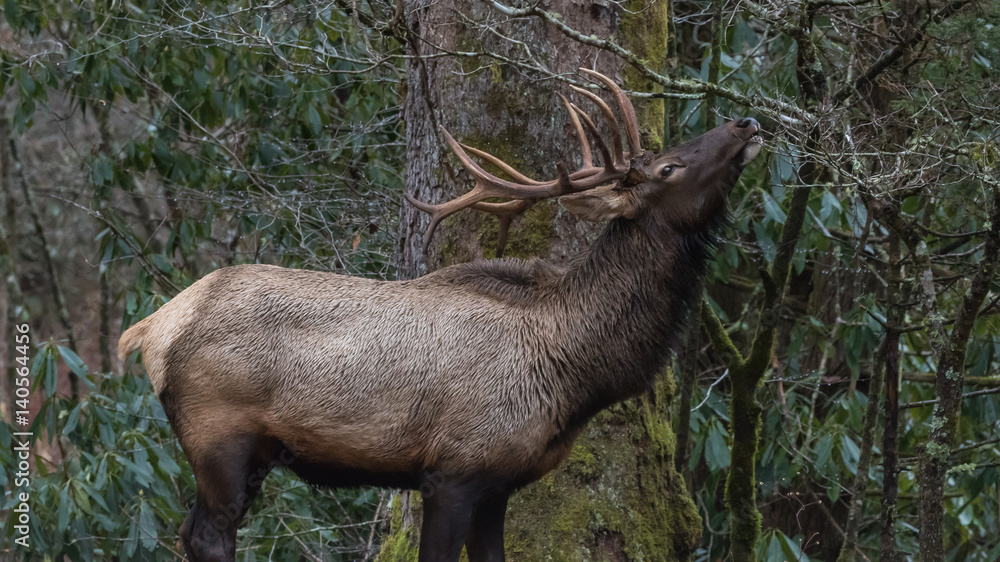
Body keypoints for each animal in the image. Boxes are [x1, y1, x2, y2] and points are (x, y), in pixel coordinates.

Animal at [118, 69, 762, 562]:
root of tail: (149, 329)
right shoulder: (453, 468)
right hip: (218, 436)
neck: (572, 369)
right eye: (667, 169)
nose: (745, 123)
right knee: (209, 536)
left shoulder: (498, 482)